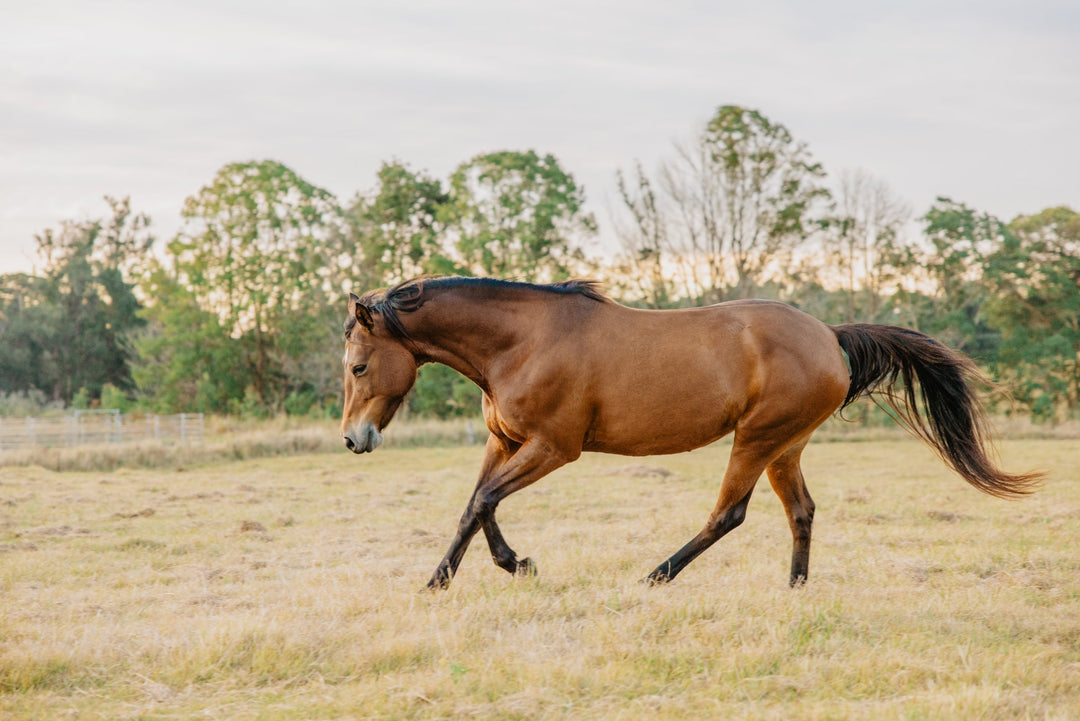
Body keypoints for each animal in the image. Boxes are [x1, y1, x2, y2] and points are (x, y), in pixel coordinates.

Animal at [340, 276, 1041, 590]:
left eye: (358, 366)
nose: (353, 440)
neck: (523, 342)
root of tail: (831, 337)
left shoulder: (554, 449)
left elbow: (484, 500)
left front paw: (495, 569)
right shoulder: (506, 442)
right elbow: (474, 505)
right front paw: (469, 573)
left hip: (756, 439)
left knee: (728, 513)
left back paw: (658, 574)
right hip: (786, 446)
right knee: (802, 511)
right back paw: (794, 589)